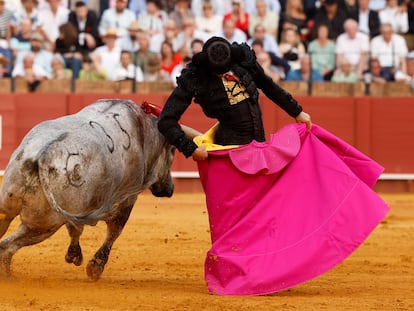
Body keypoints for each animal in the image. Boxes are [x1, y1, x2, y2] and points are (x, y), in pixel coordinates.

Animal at [0, 98, 199, 282]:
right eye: (172, 151)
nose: (170, 188)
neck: (144, 135)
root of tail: (43, 155)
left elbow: (75, 229)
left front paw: (75, 255)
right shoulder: (128, 198)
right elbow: (114, 229)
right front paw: (95, 267)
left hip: (10, 205)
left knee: (5, 239)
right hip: (44, 225)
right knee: (7, 245)